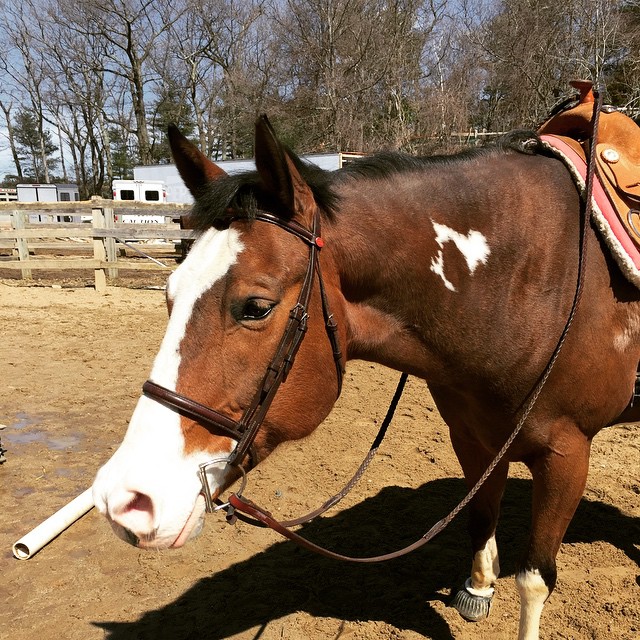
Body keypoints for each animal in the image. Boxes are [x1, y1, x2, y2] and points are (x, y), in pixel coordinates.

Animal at [92, 115, 640, 640]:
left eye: (256, 307)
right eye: (170, 294)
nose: (126, 501)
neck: (528, 281)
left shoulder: (567, 454)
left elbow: (534, 579)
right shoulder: (472, 436)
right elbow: (481, 515)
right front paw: (479, 589)